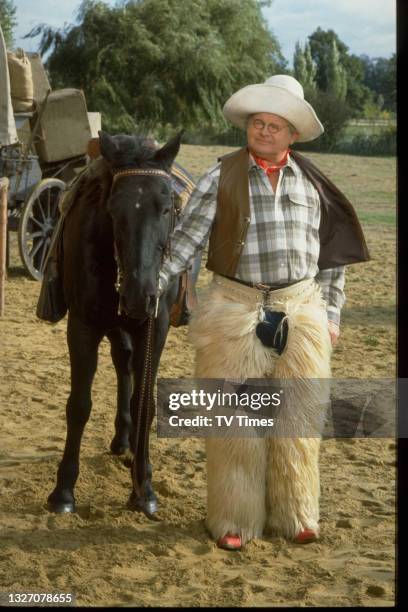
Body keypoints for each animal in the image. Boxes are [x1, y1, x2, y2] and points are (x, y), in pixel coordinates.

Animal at [46, 131, 182, 520]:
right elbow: (79, 405)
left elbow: (145, 403)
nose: (140, 293)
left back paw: (130, 446)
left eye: (166, 208)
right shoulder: (83, 325)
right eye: (114, 209)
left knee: (128, 369)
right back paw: (123, 440)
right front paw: (63, 491)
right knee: (123, 364)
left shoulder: (156, 326)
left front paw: (144, 487)